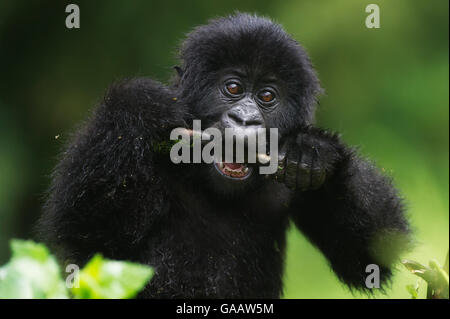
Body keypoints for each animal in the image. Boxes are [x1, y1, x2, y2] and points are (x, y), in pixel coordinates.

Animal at [39, 13, 412, 298]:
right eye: (232, 88)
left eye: (267, 96)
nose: (245, 119)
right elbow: (92, 239)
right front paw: (138, 106)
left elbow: (370, 255)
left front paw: (313, 148)